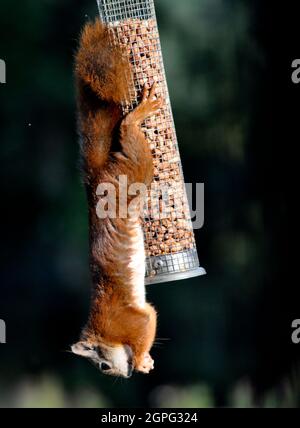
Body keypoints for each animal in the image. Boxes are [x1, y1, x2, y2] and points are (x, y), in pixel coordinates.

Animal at [71, 19, 163, 378]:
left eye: (102, 365)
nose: (121, 376)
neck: (103, 330)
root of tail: (97, 180)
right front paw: (144, 362)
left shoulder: (126, 320)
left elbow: (146, 321)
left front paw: (139, 361)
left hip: (136, 170)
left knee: (127, 130)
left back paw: (139, 113)